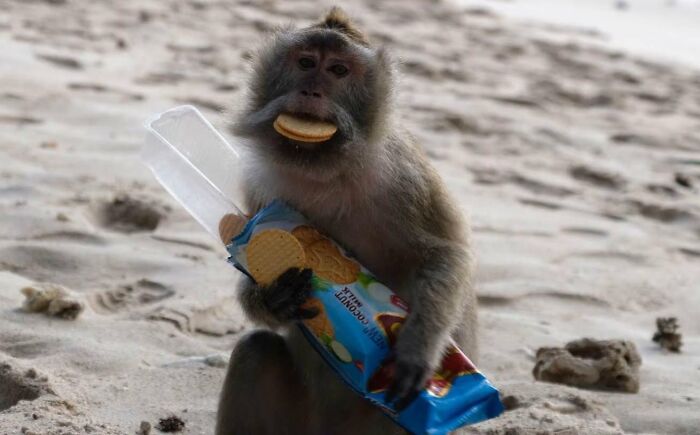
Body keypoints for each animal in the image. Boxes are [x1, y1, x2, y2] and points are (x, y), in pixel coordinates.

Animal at [216, 7, 477, 435]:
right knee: (255, 352)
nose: (311, 92)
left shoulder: (403, 175)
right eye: (306, 63)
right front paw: (274, 296)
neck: (326, 169)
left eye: (338, 70)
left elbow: (447, 254)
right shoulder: (259, 185)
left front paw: (417, 349)